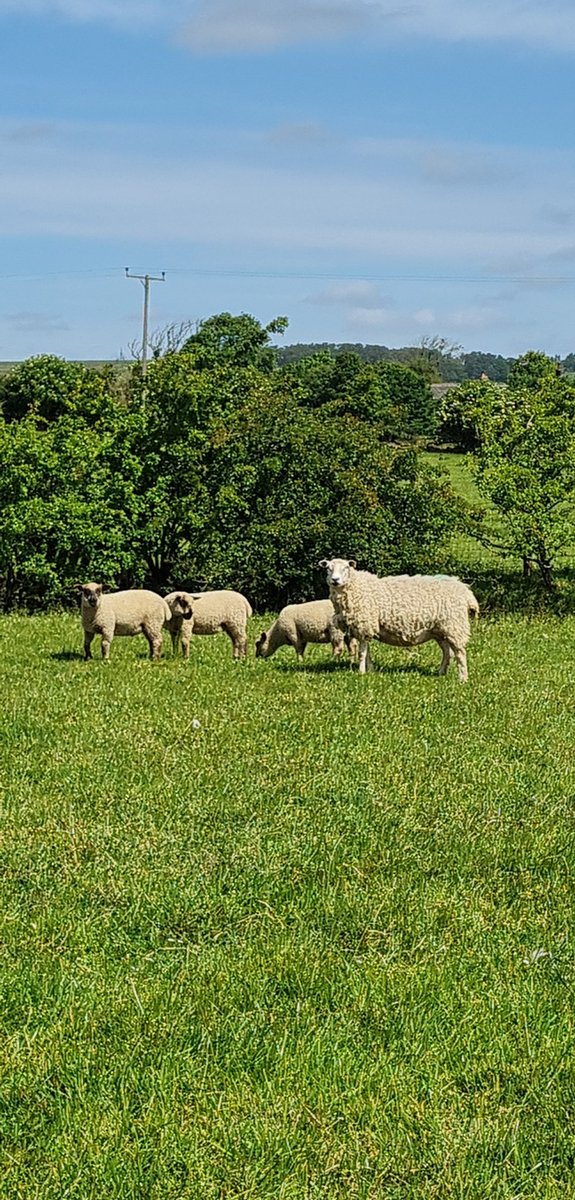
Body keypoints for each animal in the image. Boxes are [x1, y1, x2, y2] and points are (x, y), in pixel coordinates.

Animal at [318, 559, 479, 681]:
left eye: (345, 568)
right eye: (328, 569)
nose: (335, 580)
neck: (355, 587)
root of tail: (465, 591)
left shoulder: (365, 624)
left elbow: (362, 652)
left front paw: (361, 672)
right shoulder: (365, 628)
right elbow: (367, 651)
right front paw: (370, 670)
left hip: (454, 626)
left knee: (460, 652)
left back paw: (463, 678)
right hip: (439, 630)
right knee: (447, 652)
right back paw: (441, 673)